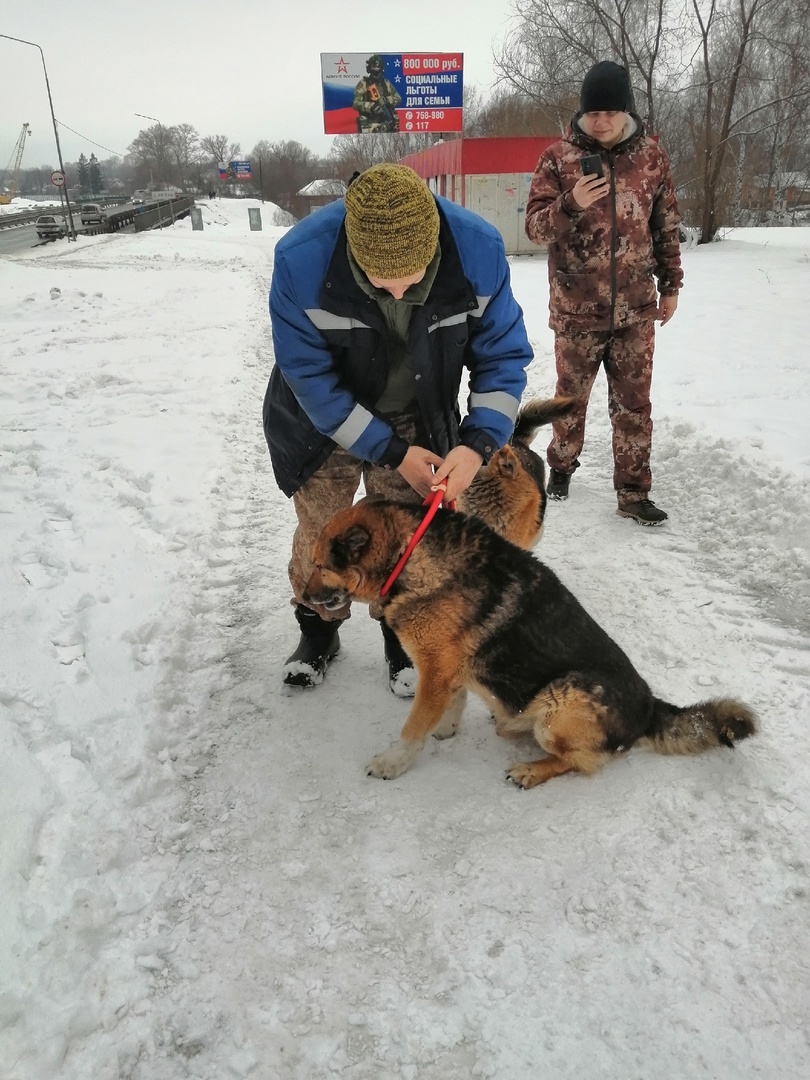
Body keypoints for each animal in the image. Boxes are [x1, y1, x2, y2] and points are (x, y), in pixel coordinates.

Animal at [302, 496, 760, 786]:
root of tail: (650, 706)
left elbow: (413, 727)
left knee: (583, 762)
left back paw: (531, 770)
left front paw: (393, 762)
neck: (408, 556)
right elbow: (451, 704)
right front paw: (445, 729)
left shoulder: (435, 670)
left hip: (562, 701)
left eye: (320, 566)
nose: (302, 598)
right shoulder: (445, 671)